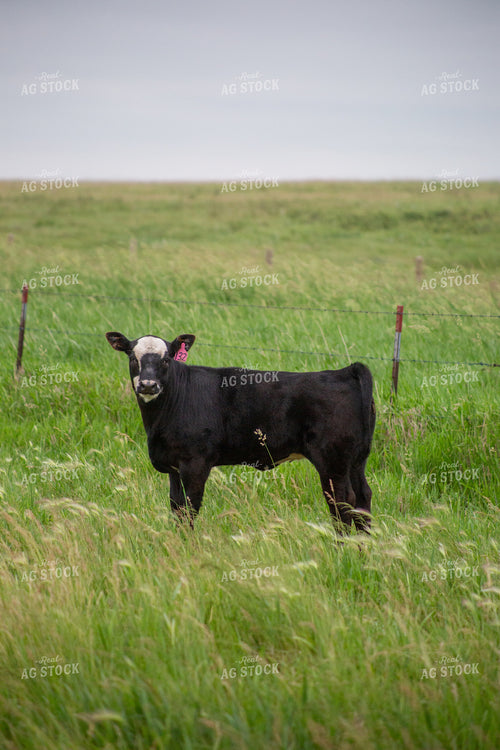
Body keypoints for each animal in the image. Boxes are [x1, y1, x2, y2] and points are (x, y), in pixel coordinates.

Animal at [105, 331, 376, 532]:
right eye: (133, 358)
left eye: (166, 360)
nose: (148, 385)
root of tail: (344, 372)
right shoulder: (174, 465)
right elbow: (177, 508)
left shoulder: (195, 463)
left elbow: (190, 508)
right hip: (356, 461)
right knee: (362, 498)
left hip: (332, 461)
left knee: (342, 502)